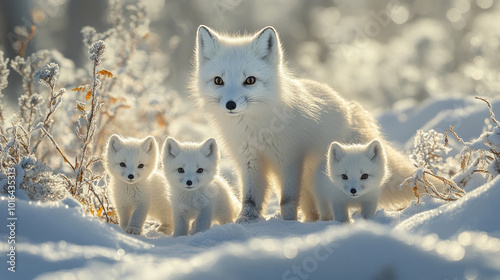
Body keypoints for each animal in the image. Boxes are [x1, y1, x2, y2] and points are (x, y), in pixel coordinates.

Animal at [191, 25, 422, 222]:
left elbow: (287, 200)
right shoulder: (249, 161)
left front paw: (288, 224)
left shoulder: (290, 160)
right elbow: (250, 200)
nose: (230, 104)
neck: (256, 128)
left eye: (250, 80)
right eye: (218, 80)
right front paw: (245, 222)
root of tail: (350, 108)